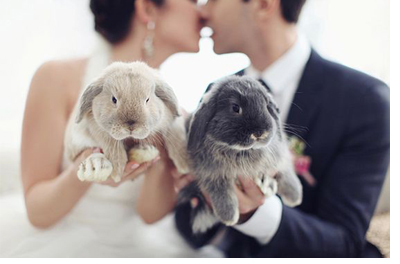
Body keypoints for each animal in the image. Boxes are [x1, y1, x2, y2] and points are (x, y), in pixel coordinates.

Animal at [180, 75, 302, 233]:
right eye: (235, 108)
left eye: (266, 106)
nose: (260, 133)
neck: (243, 151)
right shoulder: (212, 175)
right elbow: (222, 194)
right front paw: (229, 217)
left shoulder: (278, 160)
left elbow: (286, 175)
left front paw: (295, 197)